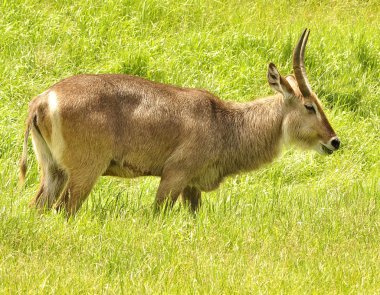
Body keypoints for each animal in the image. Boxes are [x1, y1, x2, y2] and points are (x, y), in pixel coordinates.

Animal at [19, 28, 340, 216]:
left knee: (38, 207)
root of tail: (43, 99)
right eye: (310, 106)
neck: (224, 122)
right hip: (84, 172)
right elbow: (157, 214)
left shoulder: (192, 186)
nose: (335, 141)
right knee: (63, 210)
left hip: (53, 171)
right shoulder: (175, 175)